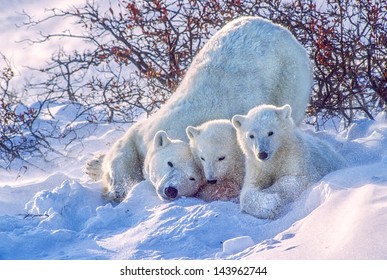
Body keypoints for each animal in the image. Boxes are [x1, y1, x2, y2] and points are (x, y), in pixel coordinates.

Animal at [92, 16, 314, 201]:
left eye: (192, 178)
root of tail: (282, 29)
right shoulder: (152, 126)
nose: (171, 190)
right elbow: (125, 150)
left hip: (289, 78)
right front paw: (110, 180)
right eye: (170, 163)